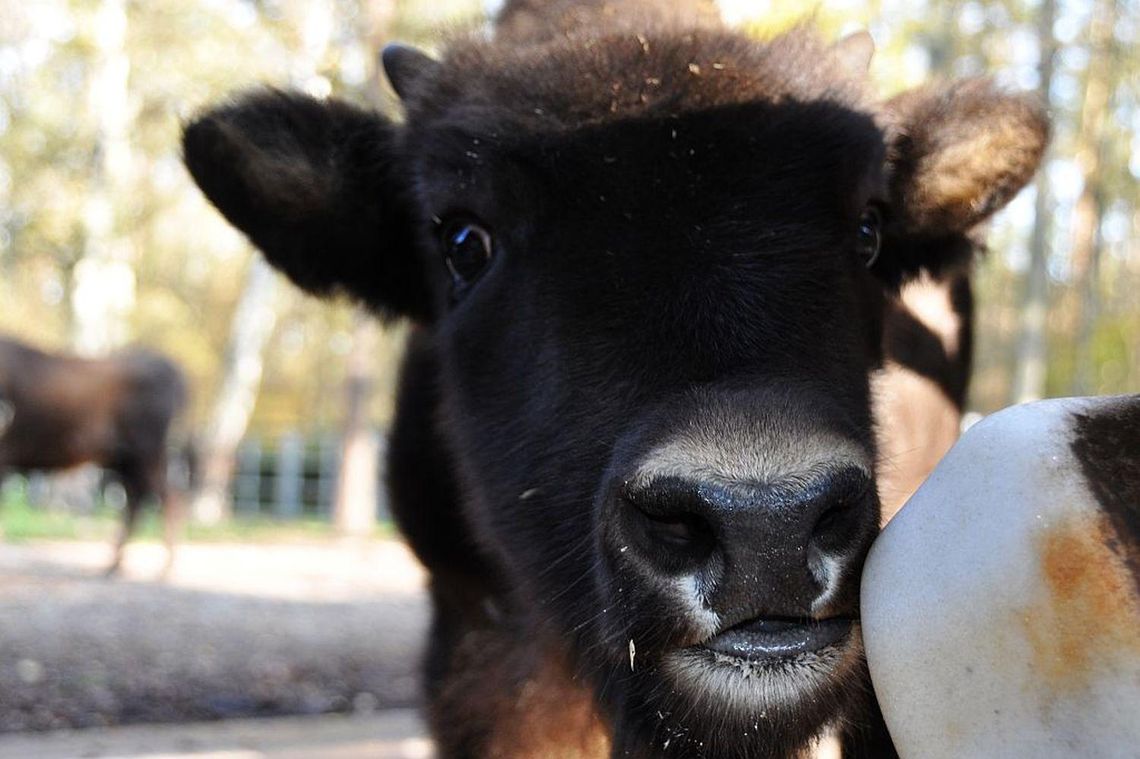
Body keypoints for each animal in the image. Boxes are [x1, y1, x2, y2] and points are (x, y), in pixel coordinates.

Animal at [0, 335, 186, 569]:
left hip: (147, 455)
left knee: (168, 498)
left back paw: (163, 568)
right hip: (125, 461)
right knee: (137, 500)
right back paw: (114, 564)